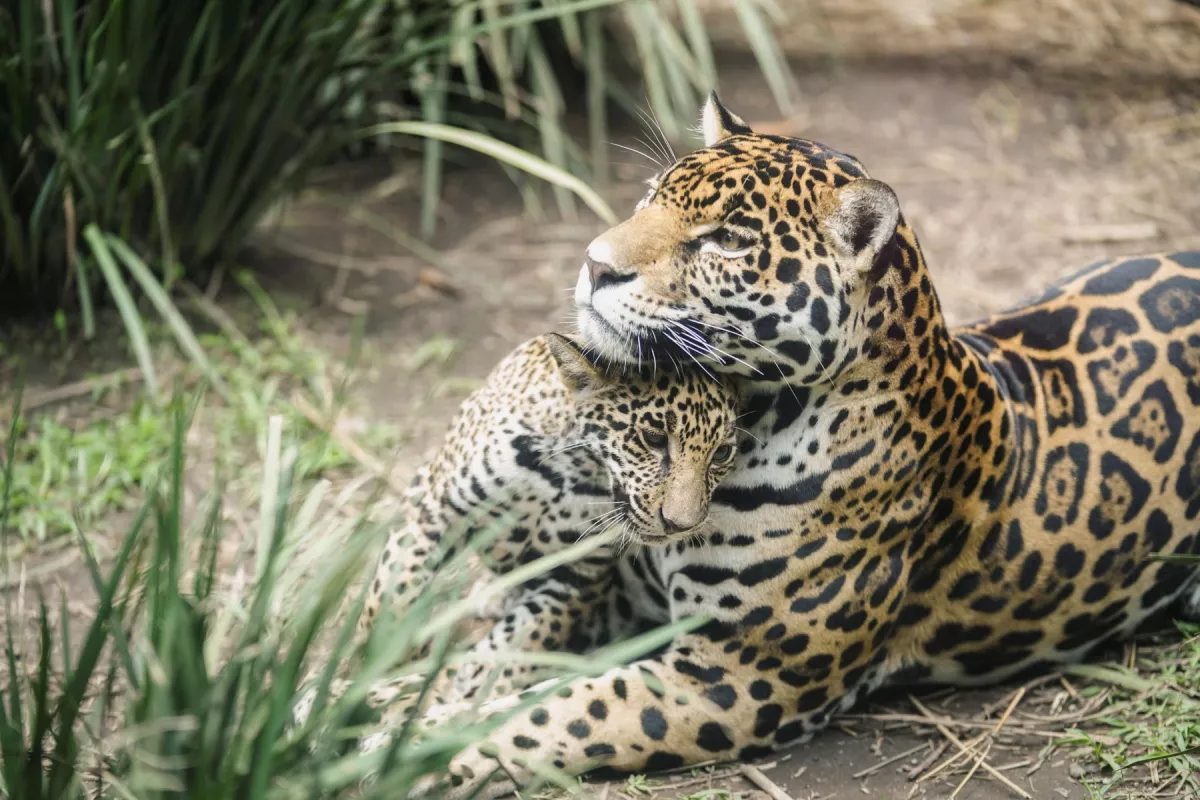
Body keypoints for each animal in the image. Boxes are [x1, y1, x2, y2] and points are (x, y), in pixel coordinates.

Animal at [391, 92, 1200, 800]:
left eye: (725, 239)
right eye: (652, 195)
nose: (594, 265)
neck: (756, 419)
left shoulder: (735, 679)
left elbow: (545, 713)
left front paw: (403, 747)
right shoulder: (624, 589)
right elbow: (498, 653)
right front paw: (385, 692)